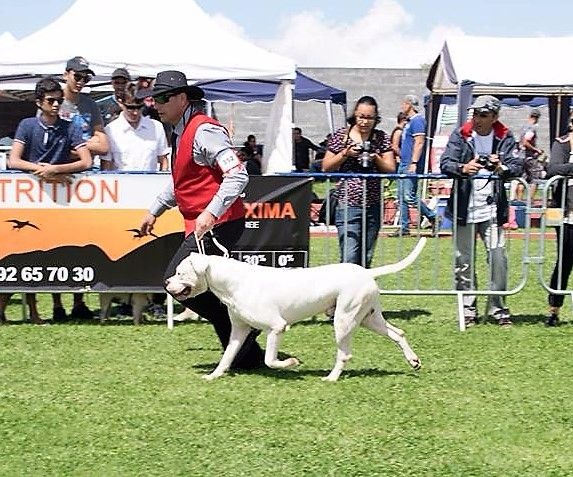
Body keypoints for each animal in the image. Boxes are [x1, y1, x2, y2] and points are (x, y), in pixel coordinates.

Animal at [165, 237, 424, 380]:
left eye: (180, 272)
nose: (166, 283)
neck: (232, 282)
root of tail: (367, 272)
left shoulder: (277, 328)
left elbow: (270, 360)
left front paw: (291, 363)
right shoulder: (238, 330)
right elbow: (227, 356)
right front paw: (213, 376)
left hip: (344, 320)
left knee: (345, 354)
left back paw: (331, 378)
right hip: (369, 318)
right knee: (398, 333)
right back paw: (413, 361)